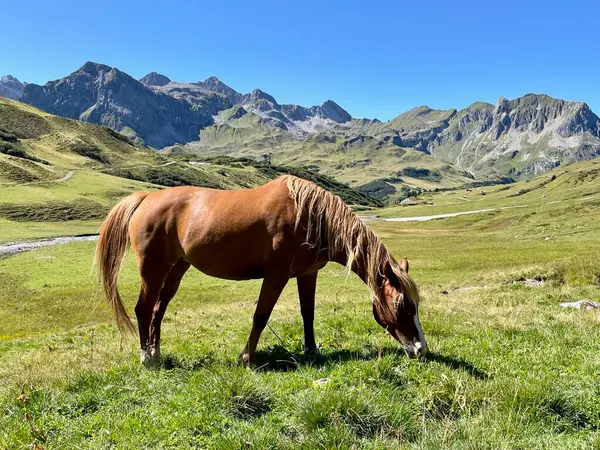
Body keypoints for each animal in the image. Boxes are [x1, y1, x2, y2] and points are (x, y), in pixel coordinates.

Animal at [95, 174, 426, 368]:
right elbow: (260, 316)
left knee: (158, 311)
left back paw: (157, 354)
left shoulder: (308, 274)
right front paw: (247, 359)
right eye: (402, 306)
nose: (421, 349)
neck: (310, 215)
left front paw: (311, 351)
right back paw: (146, 359)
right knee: (143, 309)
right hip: (152, 270)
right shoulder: (276, 275)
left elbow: (308, 313)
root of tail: (145, 199)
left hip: (177, 269)